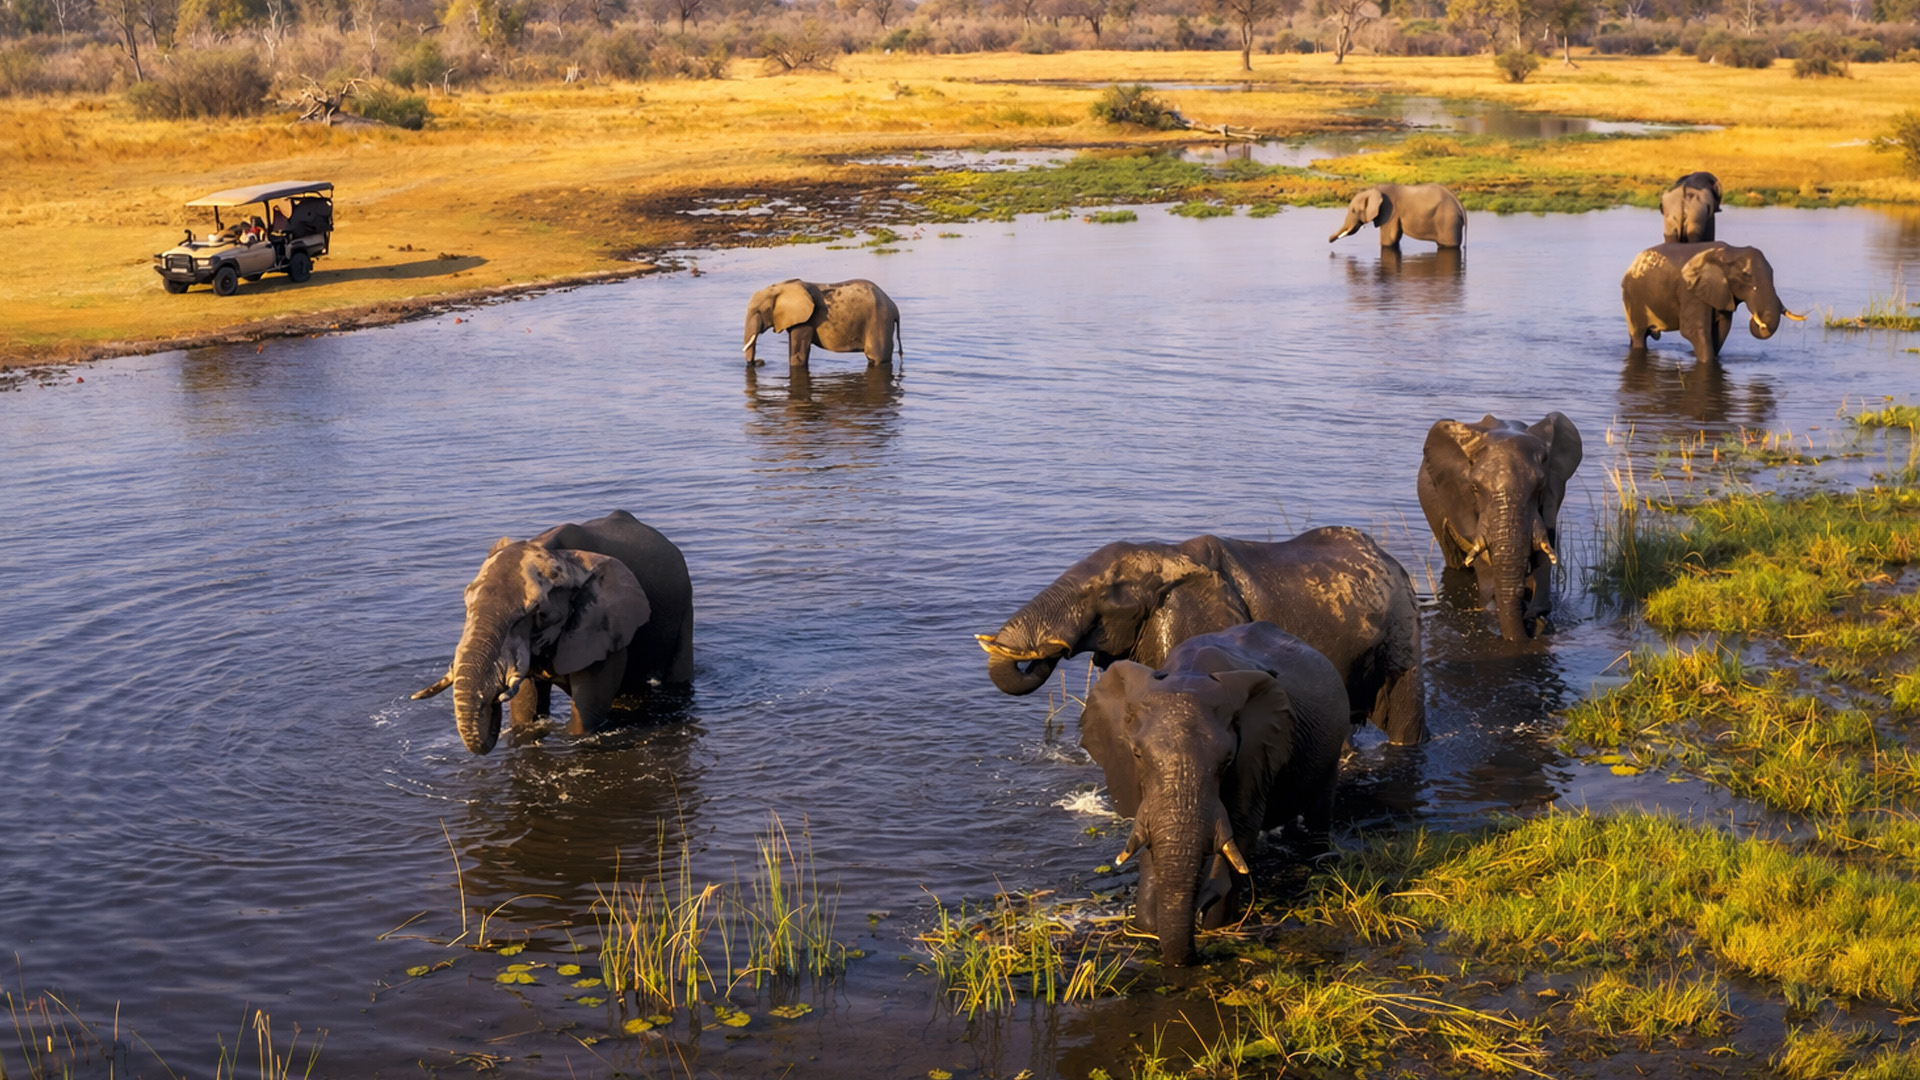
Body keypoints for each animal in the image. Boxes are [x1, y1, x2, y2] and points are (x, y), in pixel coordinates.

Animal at [413, 510, 694, 755]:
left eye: (533, 613)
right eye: (466, 603)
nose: (494, 697)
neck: (557, 553)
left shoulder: (603, 625)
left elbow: (587, 711)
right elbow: (526, 708)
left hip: (686, 605)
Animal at [742, 278, 903, 370]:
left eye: (760, 311)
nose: (759, 362)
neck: (782, 287)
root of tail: (895, 308)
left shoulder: (807, 319)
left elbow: (798, 355)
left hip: (880, 322)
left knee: (877, 358)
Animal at [1081, 622, 1349, 966]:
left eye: (1226, 761)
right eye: (1137, 755)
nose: (1193, 953)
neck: (1190, 674)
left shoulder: (1255, 754)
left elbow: (1241, 829)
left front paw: (1214, 920)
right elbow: (1152, 840)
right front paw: (1147, 925)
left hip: (1332, 747)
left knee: (1319, 808)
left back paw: (1319, 861)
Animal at [1328, 183, 1466, 249]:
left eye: (1353, 211)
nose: (1329, 241)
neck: (1373, 190)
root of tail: (1460, 205)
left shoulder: (1390, 212)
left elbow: (1388, 241)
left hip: (1448, 220)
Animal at [1621, 242, 1804, 363]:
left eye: (1773, 273)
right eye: (1746, 276)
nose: (1755, 318)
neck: (1731, 252)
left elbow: (1722, 329)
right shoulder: (1690, 290)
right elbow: (1693, 331)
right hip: (1632, 297)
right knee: (1639, 335)